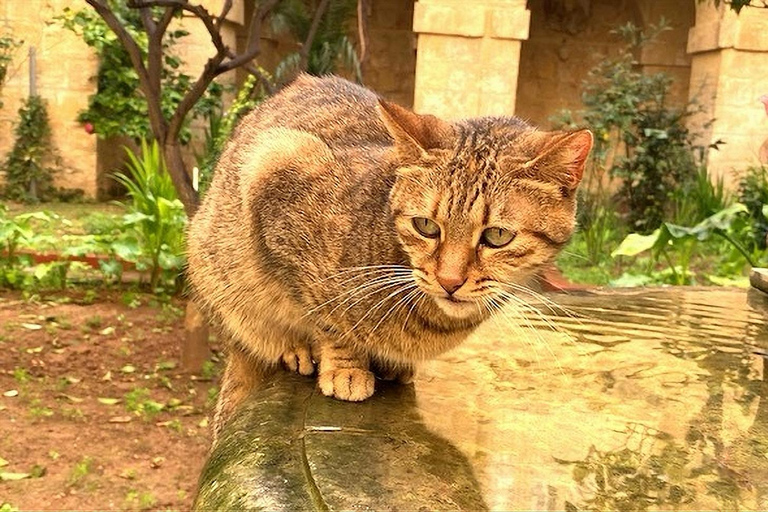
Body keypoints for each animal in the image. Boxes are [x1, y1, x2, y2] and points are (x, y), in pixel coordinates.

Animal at [186, 74, 592, 434]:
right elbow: (326, 319)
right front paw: (346, 367)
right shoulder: (277, 172)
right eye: (426, 226)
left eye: (497, 236)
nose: (449, 281)